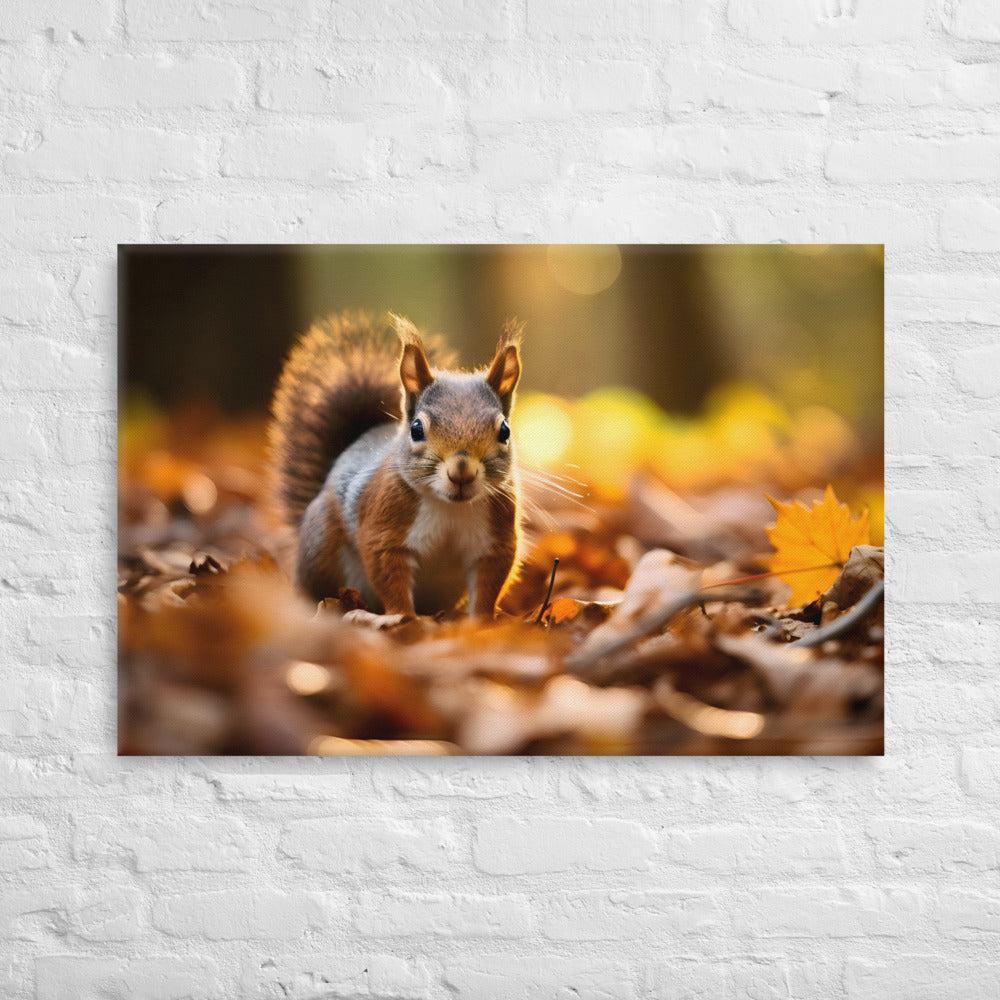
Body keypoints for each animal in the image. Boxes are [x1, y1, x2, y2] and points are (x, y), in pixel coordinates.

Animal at [268, 310, 523, 619]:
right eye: (416, 429)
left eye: (505, 431)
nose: (461, 471)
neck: (449, 507)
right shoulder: (384, 529)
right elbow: (390, 578)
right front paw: (404, 619)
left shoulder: (494, 541)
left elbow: (488, 586)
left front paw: (482, 622)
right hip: (319, 547)